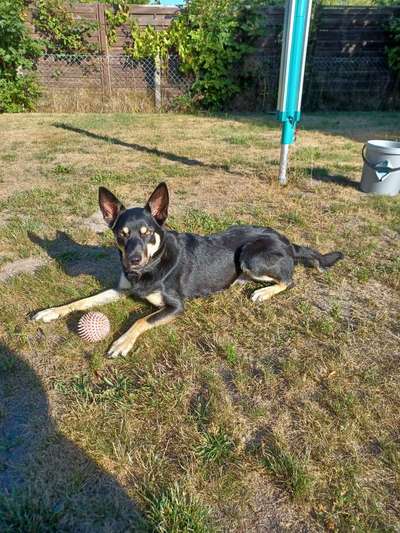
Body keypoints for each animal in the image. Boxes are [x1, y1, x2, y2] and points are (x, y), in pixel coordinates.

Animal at [32, 183, 344, 358]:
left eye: (147, 233)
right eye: (122, 235)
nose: (133, 260)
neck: (153, 265)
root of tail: (287, 241)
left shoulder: (175, 306)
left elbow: (140, 320)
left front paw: (122, 342)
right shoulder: (120, 289)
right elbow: (83, 300)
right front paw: (51, 311)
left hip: (250, 255)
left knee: (289, 280)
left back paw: (263, 293)